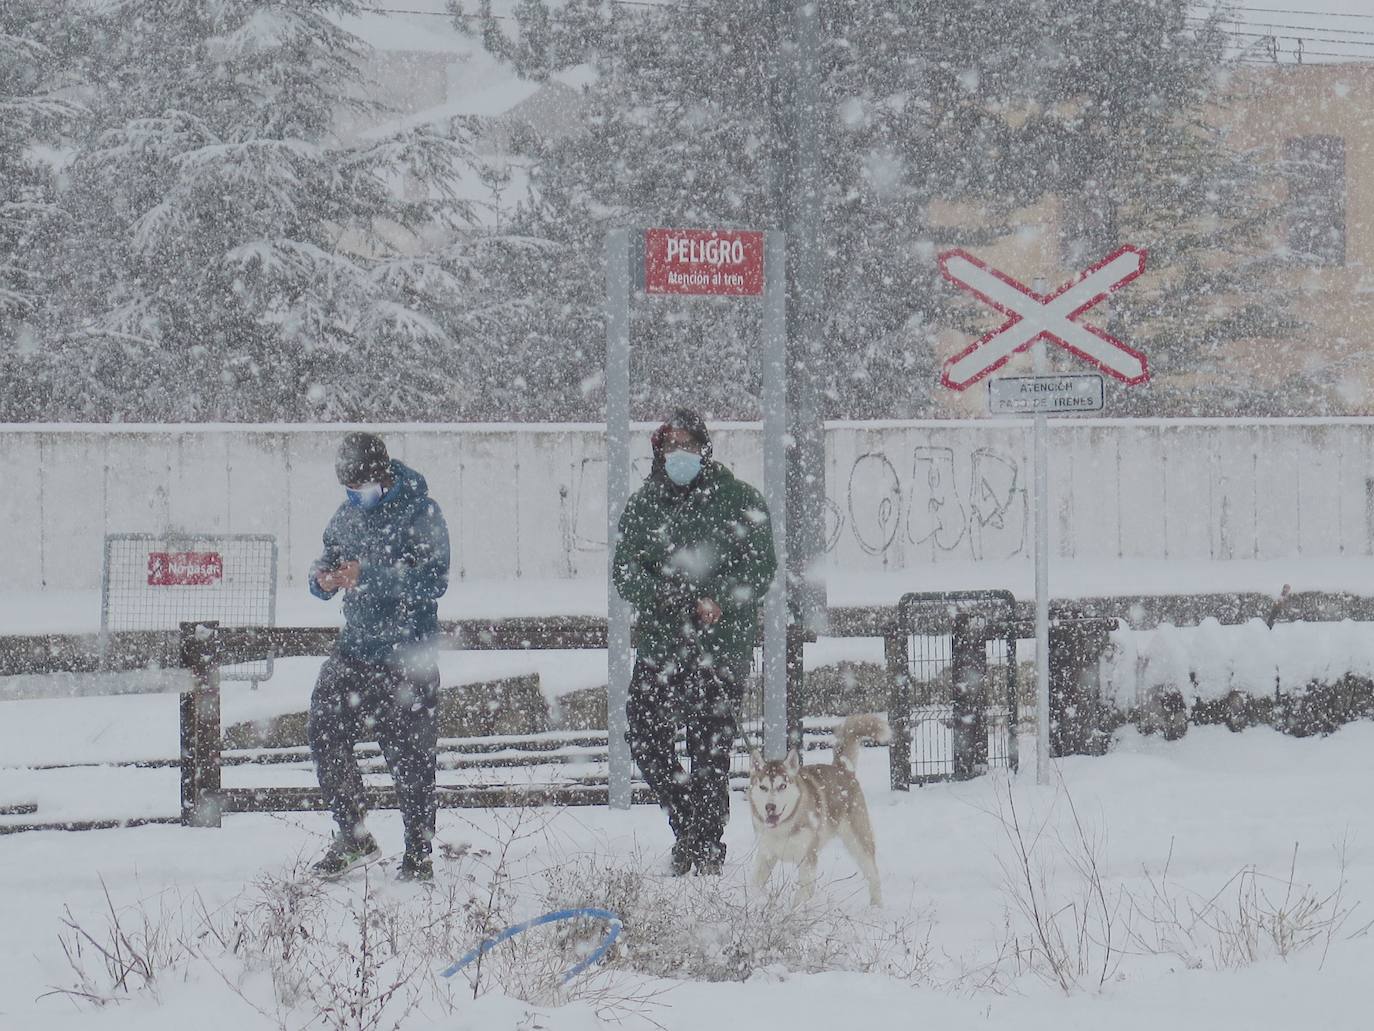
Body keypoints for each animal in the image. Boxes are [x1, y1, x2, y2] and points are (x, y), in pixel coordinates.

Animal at [752, 714, 890, 907]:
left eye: (782, 786)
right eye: (763, 787)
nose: (770, 807)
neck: (783, 828)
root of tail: (842, 768)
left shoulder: (808, 857)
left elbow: (802, 893)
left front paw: (794, 911)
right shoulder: (766, 854)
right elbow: (755, 885)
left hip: (858, 839)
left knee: (873, 873)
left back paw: (876, 907)